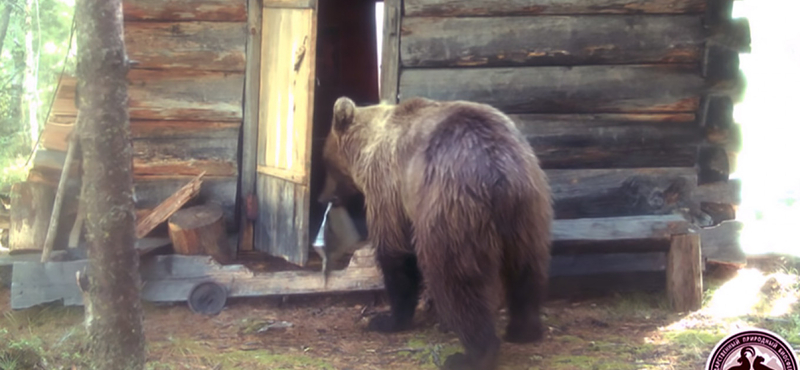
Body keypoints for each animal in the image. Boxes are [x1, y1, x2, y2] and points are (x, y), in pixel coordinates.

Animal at [318, 96, 552, 370]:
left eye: (325, 162)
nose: (322, 197)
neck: (367, 148)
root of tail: (499, 168)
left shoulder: (388, 188)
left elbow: (395, 252)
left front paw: (387, 319)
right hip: (528, 209)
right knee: (526, 266)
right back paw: (524, 329)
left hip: (450, 207)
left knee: (456, 278)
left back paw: (473, 353)